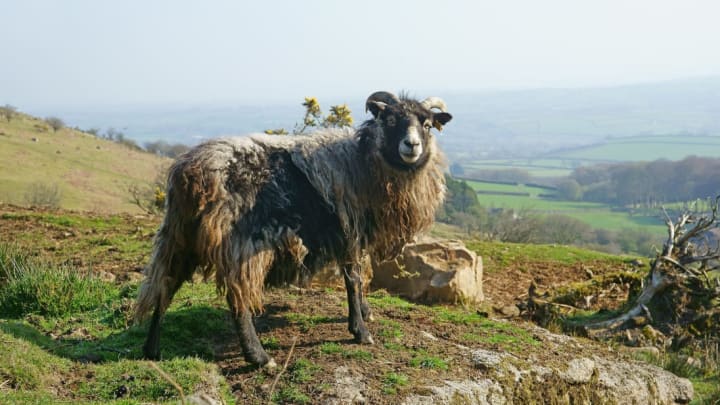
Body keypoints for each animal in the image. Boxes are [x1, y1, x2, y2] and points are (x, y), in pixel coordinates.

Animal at [132, 90, 452, 366]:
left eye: (426, 124)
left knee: (164, 286)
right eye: (390, 121)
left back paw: (152, 350)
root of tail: (191, 174)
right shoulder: (348, 231)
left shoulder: (356, 236)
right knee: (237, 300)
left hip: (178, 236)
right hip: (240, 244)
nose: (411, 145)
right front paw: (360, 331)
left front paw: (365, 313)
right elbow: (353, 280)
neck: (363, 161)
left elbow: (359, 280)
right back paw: (258, 357)